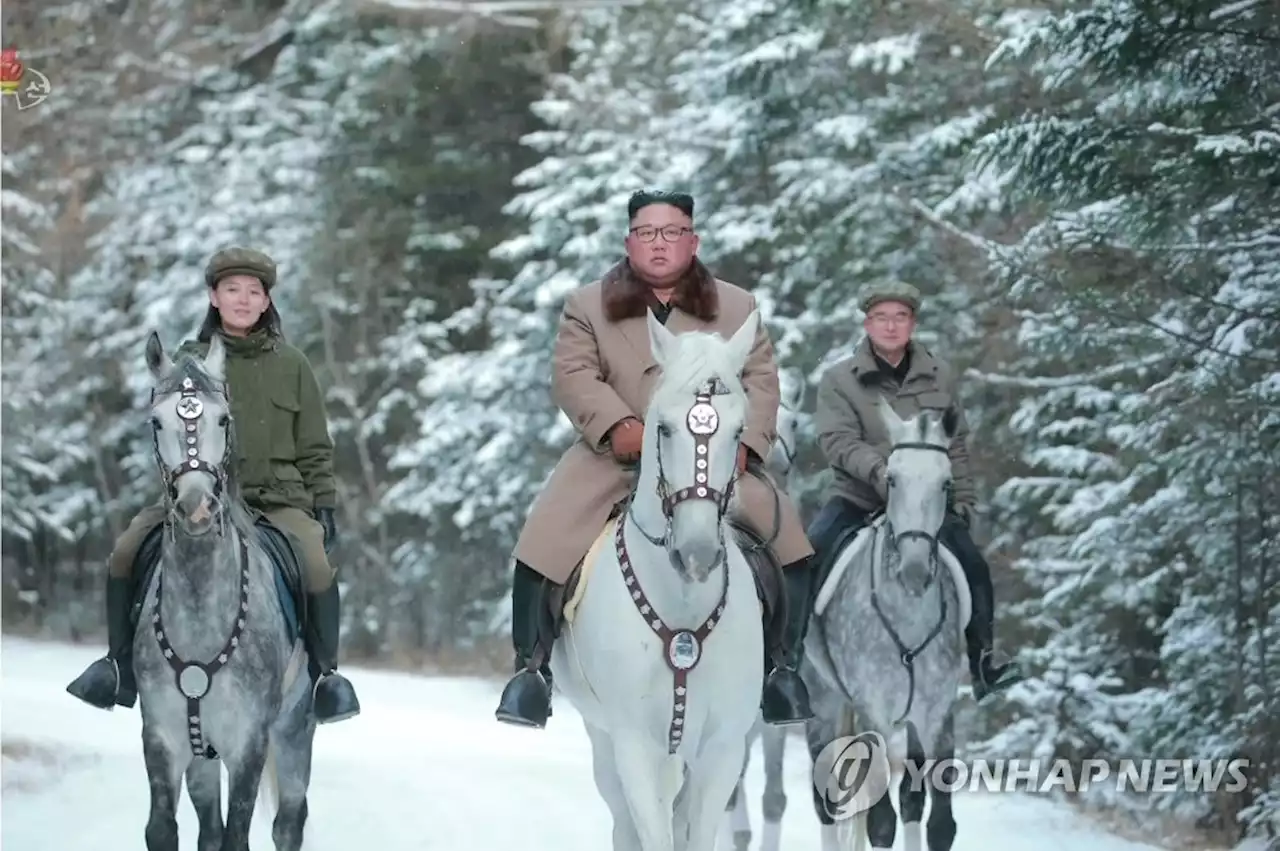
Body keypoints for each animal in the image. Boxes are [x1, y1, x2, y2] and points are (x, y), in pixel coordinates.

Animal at [133, 332, 317, 849]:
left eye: (222, 419)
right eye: (156, 421)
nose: (196, 506)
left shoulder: (248, 743)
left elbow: (239, 834)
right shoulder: (163, 739)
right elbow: (164, 828)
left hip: (295, 731)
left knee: (289, 822)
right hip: (201, 754)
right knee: (209, 829)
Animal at [547, 308, 757, 844]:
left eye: (737, 432)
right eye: (662, 428)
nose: (697, 553)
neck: (682, 609)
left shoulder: (723, 749)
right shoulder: (633, 743)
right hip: (605, 738)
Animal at [798, 399, 967, 849]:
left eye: (945, 484)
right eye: (890, 479)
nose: (913, 571)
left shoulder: (936, 714)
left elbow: (936, 822)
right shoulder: (873, 710)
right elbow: (880, 824)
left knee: (909, 799)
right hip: (823, 706)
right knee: (826, 801)